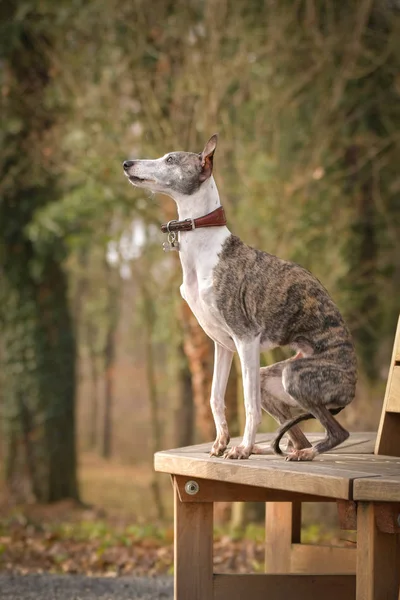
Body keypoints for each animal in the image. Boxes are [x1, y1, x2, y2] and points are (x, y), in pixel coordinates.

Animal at [123, 136, 358, 462]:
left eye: (170, 159)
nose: (126, 164)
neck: (203, 248)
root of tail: (352, 386)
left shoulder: (246, 338)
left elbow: (248, 404)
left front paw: (242, 447)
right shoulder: (222, 345)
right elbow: (215, 397)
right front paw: (221, 442)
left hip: (296, 376)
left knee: (336, 433)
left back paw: (299, 453)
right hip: (270, 379)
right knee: (297, 435)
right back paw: (274, 449)